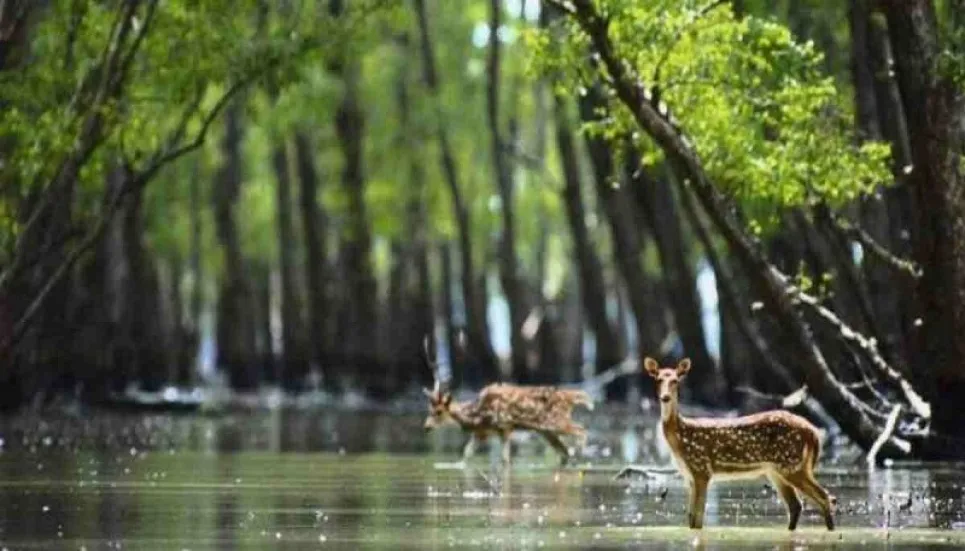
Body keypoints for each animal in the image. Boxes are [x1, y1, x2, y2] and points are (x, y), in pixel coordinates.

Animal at [420, 338, 592, 468]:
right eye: (428, 409)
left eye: (439, 412)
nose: (426, 427)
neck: (477, 415)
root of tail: (571, 396)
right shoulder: (482, 433)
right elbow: (466, 454)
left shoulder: (504, 426)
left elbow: (505, 460)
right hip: (546, 431)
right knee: (564, 452)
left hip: (555, 421)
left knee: (581, 430)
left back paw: (579, 454)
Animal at [648, 356, 836, 532]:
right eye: (658, 379)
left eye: (675, 380)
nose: (665, 397)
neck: (681, 438)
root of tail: (813, 432)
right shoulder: (689, 476)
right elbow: (691, 519)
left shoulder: (701, 469)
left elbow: (698, 519)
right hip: (778, 470)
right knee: (797, 505)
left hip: (792, 465)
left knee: (825, 497)